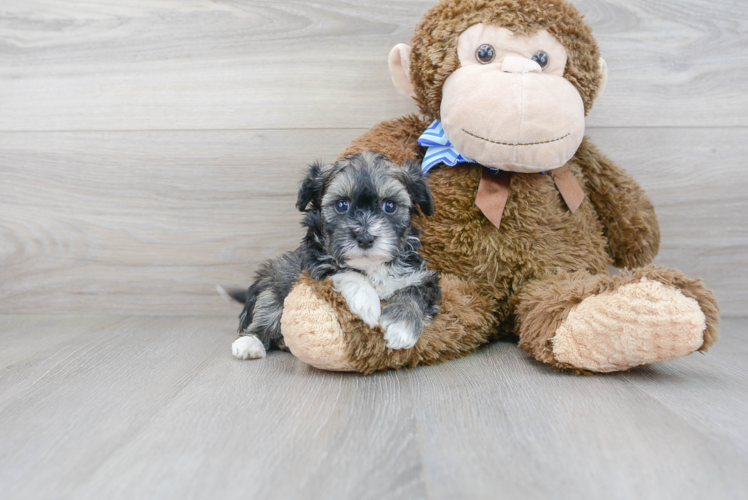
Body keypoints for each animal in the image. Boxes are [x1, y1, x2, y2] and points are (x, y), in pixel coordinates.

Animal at [231, 150, 442, 362]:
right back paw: (249, 343)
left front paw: (401, 326)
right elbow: (341, 270)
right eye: (342, 205)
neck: (371, 266)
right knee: (266, 310)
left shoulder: (422, 277)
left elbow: (414, 292)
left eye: (389, 206)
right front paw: (367, 303)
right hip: (273, 283)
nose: (365, 238)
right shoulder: (312, 263)